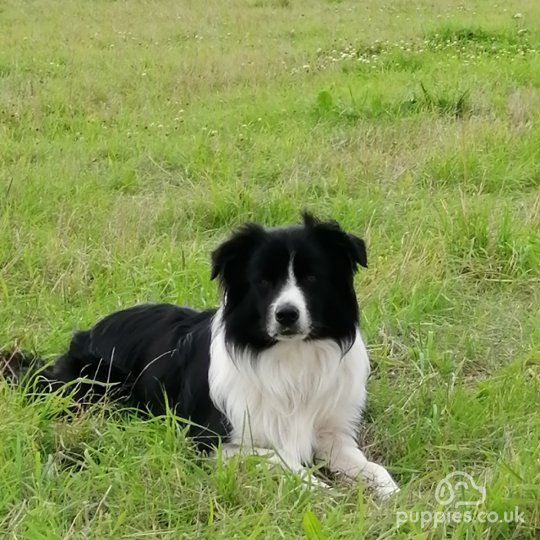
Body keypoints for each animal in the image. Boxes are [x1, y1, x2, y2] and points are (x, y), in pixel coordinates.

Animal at [7, 212, 400, 498]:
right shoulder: (211, 442)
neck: (290, 358)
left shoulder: (333, 432)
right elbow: (280, 459)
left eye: (312, 278)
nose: (286, 315)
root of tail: (86, 333)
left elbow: (368, 465)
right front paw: (319, 489)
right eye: (263, 281)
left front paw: (389, 491)